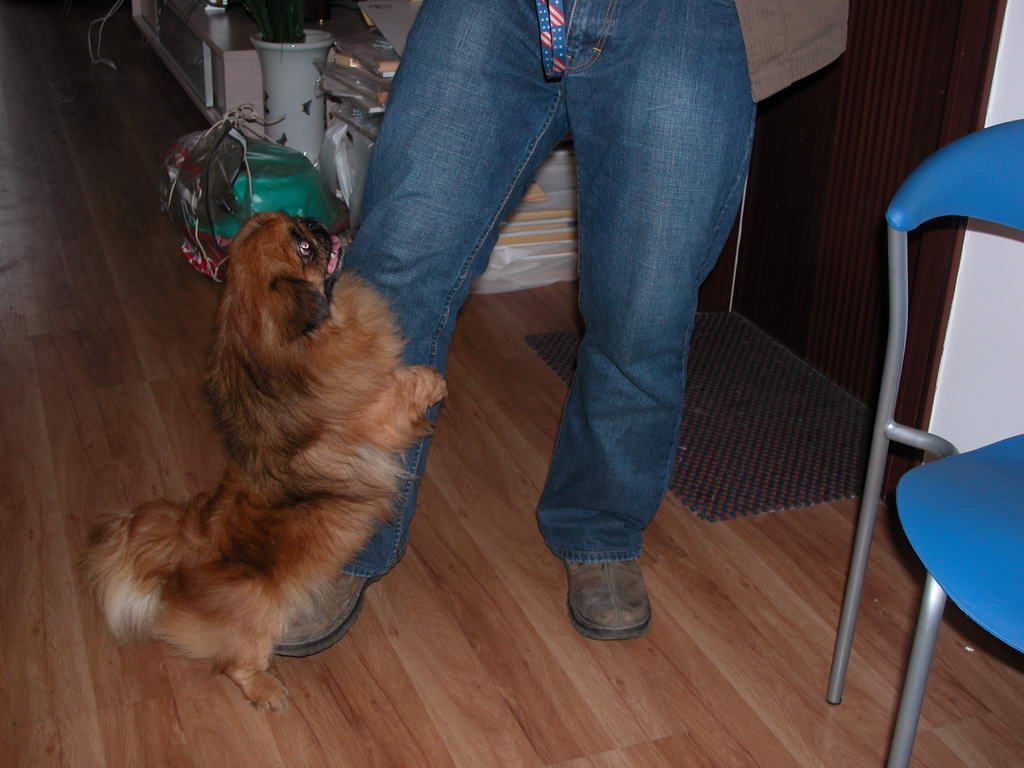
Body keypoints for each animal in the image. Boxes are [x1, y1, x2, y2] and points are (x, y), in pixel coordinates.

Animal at [83, 211, 445, 710]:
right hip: (263, 610)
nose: (314, 222)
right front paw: (433, 380)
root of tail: (184, 550)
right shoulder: (373, 417)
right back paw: (268, 691)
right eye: (304, 248)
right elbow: (398, 387)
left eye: (296, 222)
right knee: (235, 663)